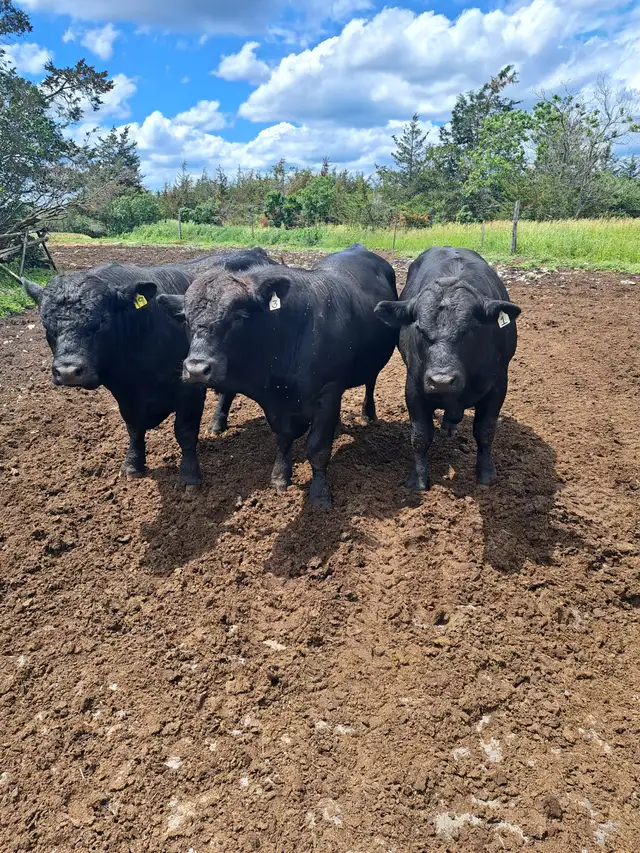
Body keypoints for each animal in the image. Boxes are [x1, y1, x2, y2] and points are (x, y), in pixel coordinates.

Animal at [23, 249, 278, 485]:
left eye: (102, 320)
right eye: (45, 323)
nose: (68, 372)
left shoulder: (189, 388)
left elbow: (185, 431)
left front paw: (189, 476)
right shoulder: (124, 394)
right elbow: (134, 428)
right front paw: (133, 465)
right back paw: (216, 425)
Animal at [157, 243, 398, 508]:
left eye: (237, 317)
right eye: (186, 320)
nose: (197, 369)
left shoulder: (328, 392)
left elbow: (318, 448)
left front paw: (320, 495)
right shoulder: (275, 402)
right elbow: (283, 438)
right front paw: (280, 477)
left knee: (371, 382)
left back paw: (368, 414)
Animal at [375, 247, 520, 490]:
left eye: (470, 329)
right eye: (420, 330)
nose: (441, 381)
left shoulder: (498, 385)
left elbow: (485, 431)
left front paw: (486, 473)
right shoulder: (414, 387)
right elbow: (420, 435)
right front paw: (418, 479)